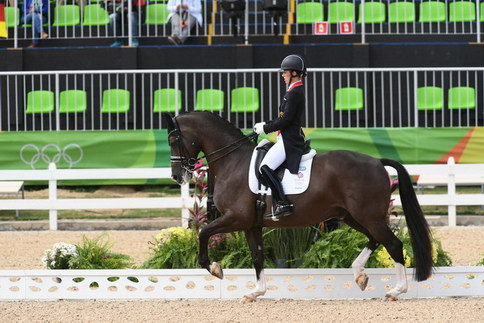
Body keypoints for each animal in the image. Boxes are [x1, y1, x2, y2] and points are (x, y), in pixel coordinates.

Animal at [164, 112, 432, 304]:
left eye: (173, 140)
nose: (177, 176)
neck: (233, 162)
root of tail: (377, 161)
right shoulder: (251, 225)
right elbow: (257, 256)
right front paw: (255, 292)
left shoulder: (236, 218)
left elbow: (203, 232)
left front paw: (215, 268)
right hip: (354, 217)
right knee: (376, 240)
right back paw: (360, 275)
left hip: (368, 217)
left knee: (393, 244)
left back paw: (396, 291)